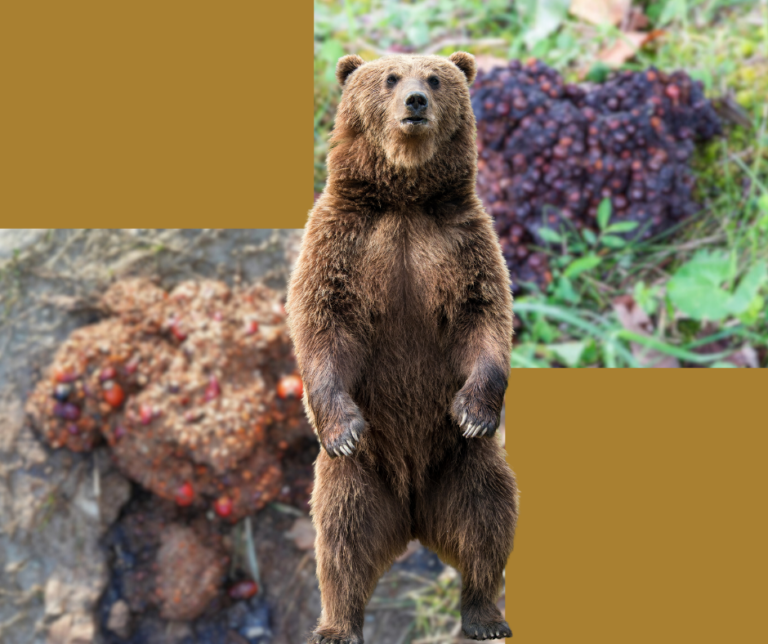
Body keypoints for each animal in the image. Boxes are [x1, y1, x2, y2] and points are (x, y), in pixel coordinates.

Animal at [286, 51, 518, 643]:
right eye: (390, 78)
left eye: (435, 78)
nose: (415, 101)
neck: (405, 200)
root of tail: (413, 520)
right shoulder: (343, 242)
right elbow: (322, 323)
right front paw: (342, 428)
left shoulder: (462, 243)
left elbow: (484, 316)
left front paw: (475, 411)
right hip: (359, 478)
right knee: (341, 541)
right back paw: (337, 626)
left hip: (464, 464)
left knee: (488, 521)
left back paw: (484, 616)